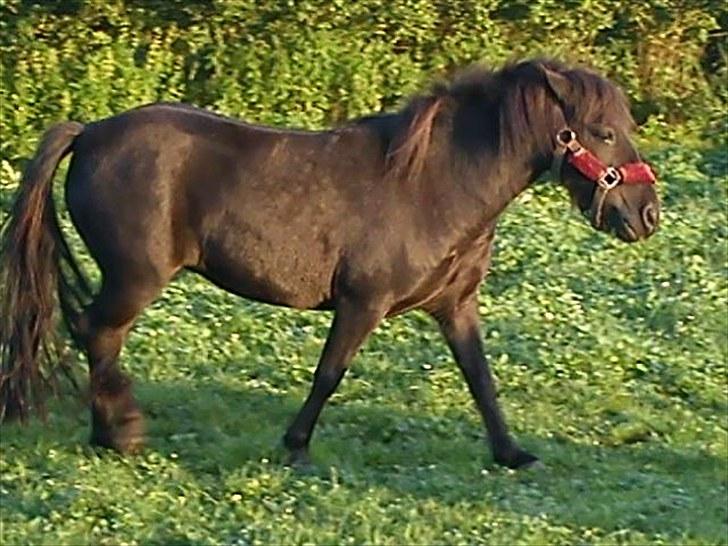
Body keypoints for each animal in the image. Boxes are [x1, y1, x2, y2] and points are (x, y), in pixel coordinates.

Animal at [0, 59, 660, 468]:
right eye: (602, 132)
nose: (647, 214)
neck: (434, 184)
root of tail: (90, 131)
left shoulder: (455, 306)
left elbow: (481, 378)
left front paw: (512, 453)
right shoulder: (362, 302)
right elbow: (329, 374)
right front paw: (295, 447)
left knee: (97, 336)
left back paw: (110, 432)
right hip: (135, 278)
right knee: (95, 333)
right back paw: (120, 433)